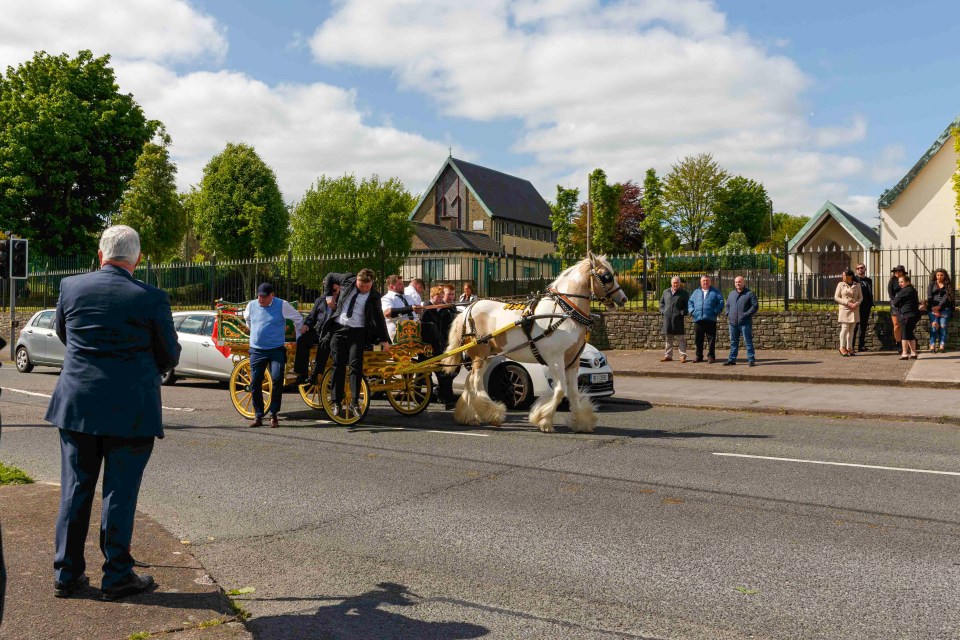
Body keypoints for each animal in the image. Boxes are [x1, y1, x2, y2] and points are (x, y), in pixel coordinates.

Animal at [442, 252, 632, 432]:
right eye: (606, 276)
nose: (624, 298)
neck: (565, 311)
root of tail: (468, 309)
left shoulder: (572, 361)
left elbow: (573, 392)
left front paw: (581, 421)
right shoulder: (555, 360)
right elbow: (560, 390)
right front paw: (543, 420)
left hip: (487, 356)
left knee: (470, 381)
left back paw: (468, 416)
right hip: (480, 355)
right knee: (476, 382)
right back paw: (493, 413)